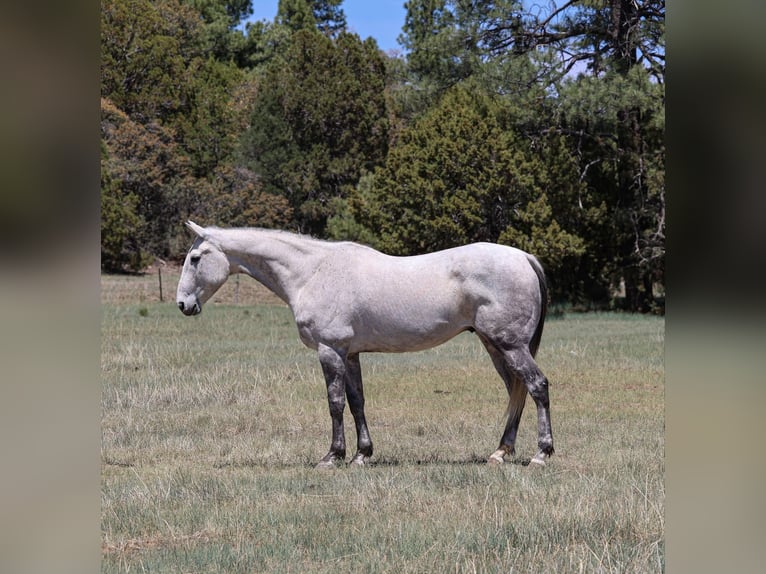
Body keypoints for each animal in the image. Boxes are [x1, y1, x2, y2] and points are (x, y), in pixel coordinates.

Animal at [176, 221, 554, 468]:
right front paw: (362, 455)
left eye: (195, 259)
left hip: (510, 346)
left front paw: (332, 456)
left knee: (537, 386)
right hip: (495, 347)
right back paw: (501, 452)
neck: (312, 272)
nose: (182, 305)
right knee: (517, 391)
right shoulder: (350, 354)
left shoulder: (330, 350)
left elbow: (335, 403)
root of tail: (524, 257)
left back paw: (541, 454)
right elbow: (357, 402)